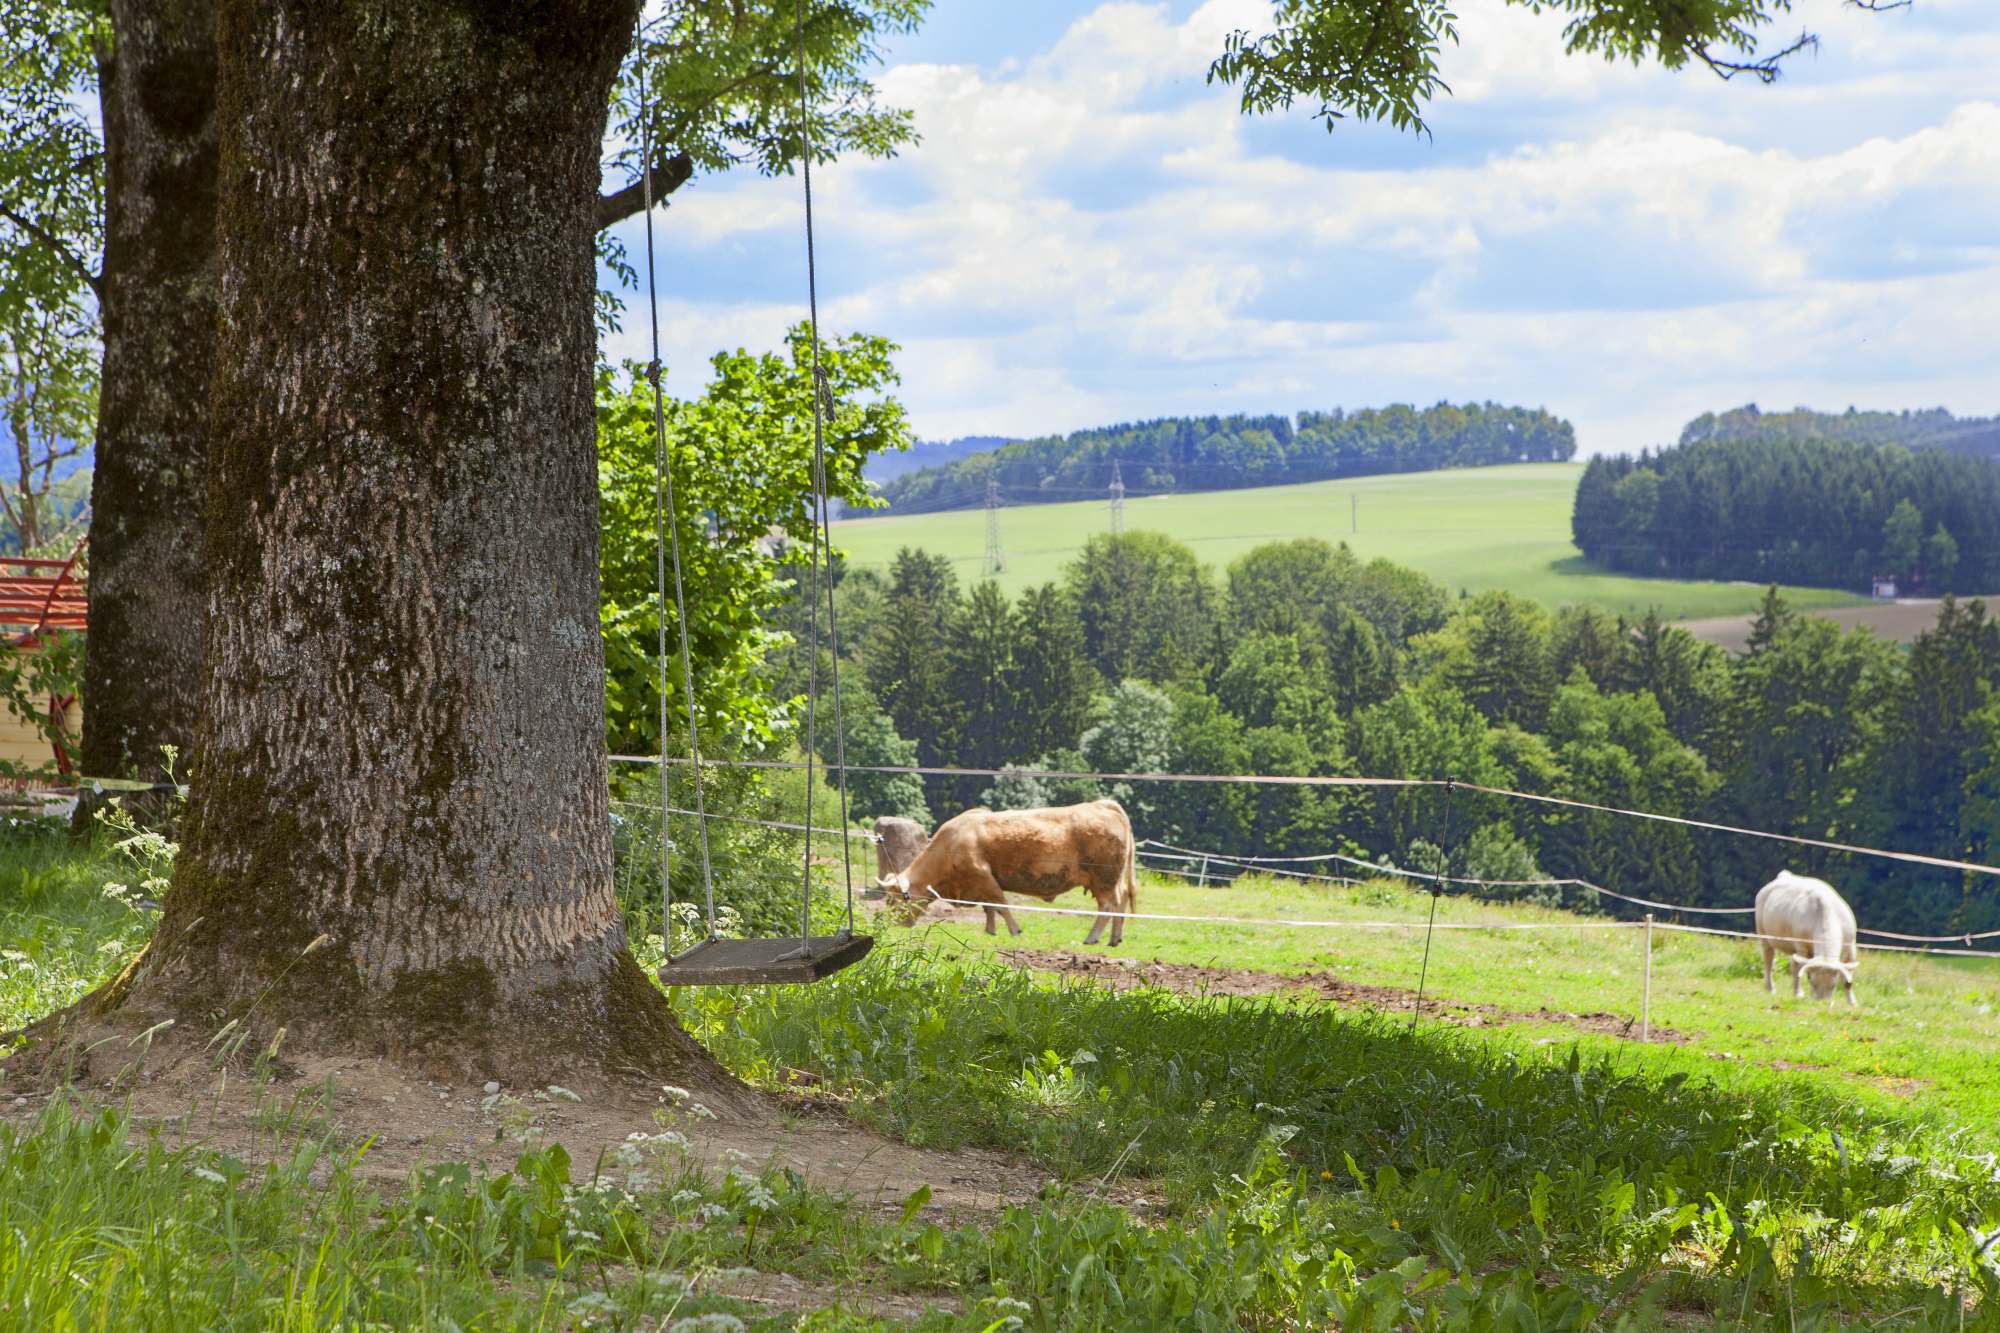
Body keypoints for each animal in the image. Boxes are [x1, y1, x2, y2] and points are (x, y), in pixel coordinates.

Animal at [884, 792, 1136, 940]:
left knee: (1108, 906)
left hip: (1104, 878)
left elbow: (1001, 904)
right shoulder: (980, 884)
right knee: (1121, 900)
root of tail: (1103, 805)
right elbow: (989, 907)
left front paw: (1014, 930)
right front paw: (990, 930)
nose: (894, 925)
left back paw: (1092, 937)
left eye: (894, 900)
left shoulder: (983, 875)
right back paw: (1115, 938)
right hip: (1110, 880)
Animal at [1752, 868, 1856, 1000]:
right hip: (1764, 935)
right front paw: (1799, 993)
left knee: (1792, 964)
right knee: (1770, 960)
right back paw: (1772, 988)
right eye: (1812, 982)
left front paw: (1852, 1001)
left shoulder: (1851, 946)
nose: (1821, 1002)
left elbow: (1848, 980)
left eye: (1833, 985)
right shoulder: (1802, 946)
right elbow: (1801, 970)